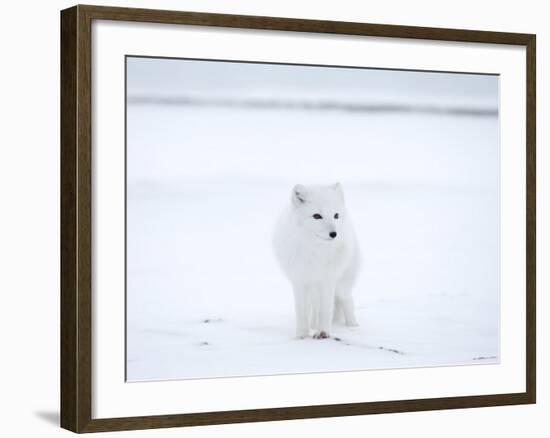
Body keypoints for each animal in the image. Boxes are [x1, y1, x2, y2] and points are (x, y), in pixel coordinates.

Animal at [272, 181, 360, 338]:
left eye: (336, 215)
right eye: (317, 216)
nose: (334, 234)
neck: (316, 251)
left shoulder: (328, 280)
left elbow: (325, 310)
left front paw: (323, 333)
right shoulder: (299, 281)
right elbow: (301, 311)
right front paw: (301, 335)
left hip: (341, 284)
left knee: (348, 300)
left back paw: (353, 327)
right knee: (314, 307)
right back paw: (313, 325)